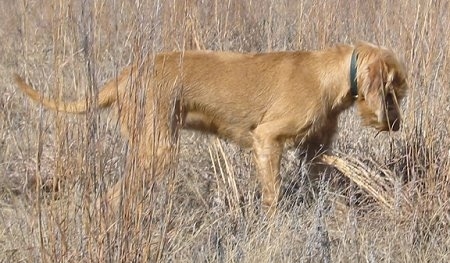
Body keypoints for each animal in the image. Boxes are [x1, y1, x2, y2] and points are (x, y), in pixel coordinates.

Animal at [14, 41, 408, 214]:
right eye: (392, 91)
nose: (397, 126)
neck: (334, 74)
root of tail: (124, 76)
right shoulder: (267, 139)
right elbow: (272, 197)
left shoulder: (316, 153)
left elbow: (339, 175)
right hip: (158, 150)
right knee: (113, 196)